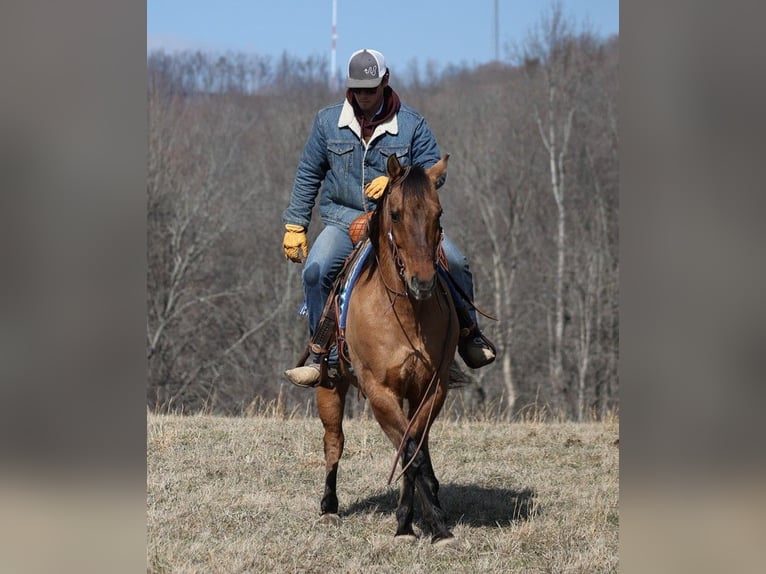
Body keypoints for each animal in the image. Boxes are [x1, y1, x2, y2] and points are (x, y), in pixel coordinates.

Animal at [316, 154, 460, 548]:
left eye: (438, 213)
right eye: (395, 214)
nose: (423, 282)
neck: (406, 314)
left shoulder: (432, 389)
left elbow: (415, 448)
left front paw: (422, 523)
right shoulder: (380, 392)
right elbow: (410, 452)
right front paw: (426, 525)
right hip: (329, 388)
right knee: (334, 442)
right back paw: (329, 507)